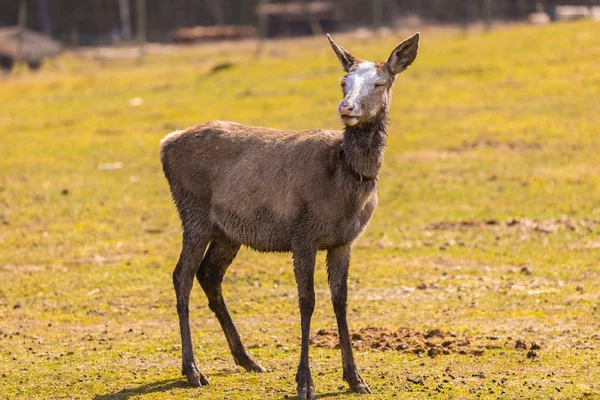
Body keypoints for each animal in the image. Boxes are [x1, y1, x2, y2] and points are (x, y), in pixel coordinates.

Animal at [159, 32, 420, 400]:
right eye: (343, 82)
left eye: (379, 82)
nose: (346, 108)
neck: (345, 184)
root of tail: (164, 145)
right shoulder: (303, 234)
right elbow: (307, 301)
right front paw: (305, 382)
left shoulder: (343, 241)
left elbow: (341, 300)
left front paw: (356, 378)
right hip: (193, 213)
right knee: (181, 275)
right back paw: (193, 370)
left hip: (227, 231)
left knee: (209, 275)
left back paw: (247, 359)